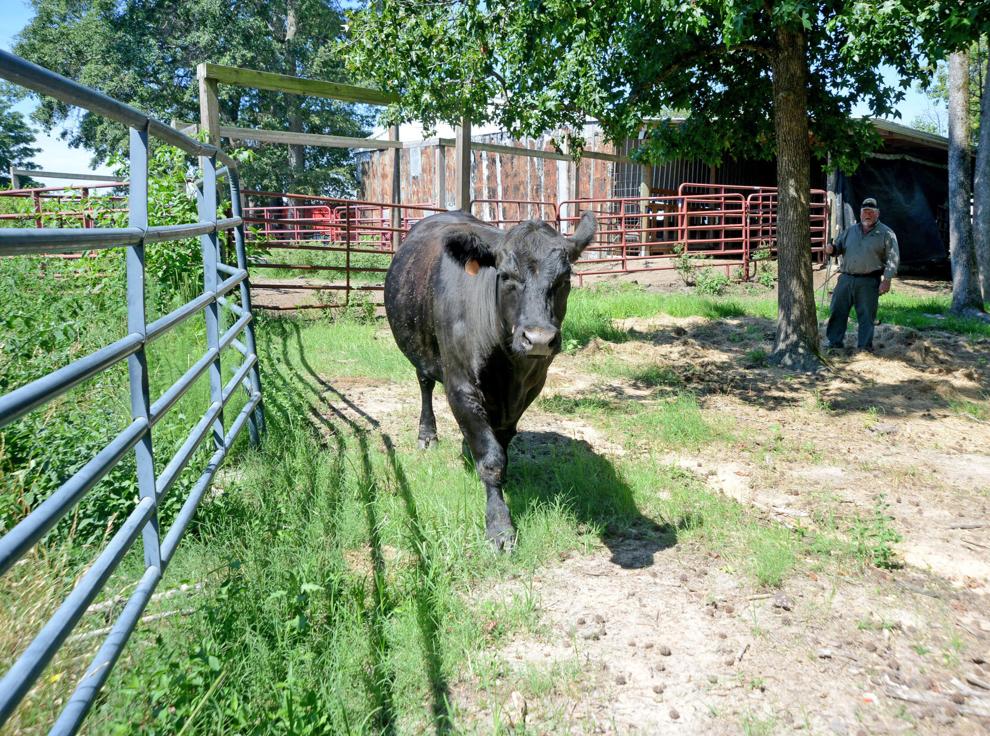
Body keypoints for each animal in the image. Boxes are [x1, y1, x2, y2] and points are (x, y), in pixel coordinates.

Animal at [384, 210, 596, 551]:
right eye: (506, 276)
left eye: (564, 280)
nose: (538, 339)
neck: (507, 365)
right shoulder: (460, 387)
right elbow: (492, 458)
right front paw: (499, 526)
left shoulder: (527, 391)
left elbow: (501, 444)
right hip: (423, 351)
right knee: (425, 384)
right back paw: (427, 435)